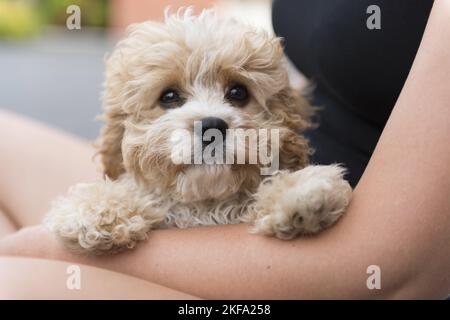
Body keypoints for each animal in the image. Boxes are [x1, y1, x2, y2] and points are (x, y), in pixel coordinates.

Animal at [44, 8, 352, 255]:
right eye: (169, 96)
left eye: (238, 92)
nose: (212, 126)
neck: (204, 207)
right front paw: (96, 210)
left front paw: (301, 193)